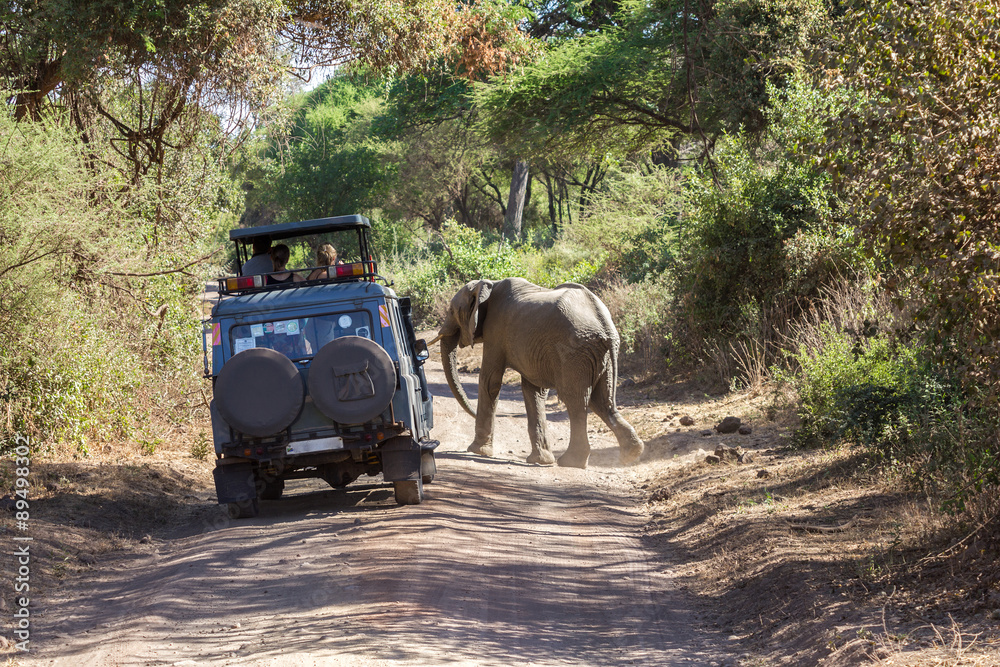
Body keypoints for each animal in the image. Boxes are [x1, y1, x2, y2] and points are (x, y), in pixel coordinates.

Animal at [436, 277, 644, 468]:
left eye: (451, 311)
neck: (489, 284)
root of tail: (605, 325)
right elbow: (534, 390)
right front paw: (541, 461)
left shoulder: (495, 331)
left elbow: (490, 382)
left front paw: (477, 451)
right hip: (602, 357)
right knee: (602, 401)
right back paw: (631, 455)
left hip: (575, 353)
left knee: (576, 400)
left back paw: (570, 462)